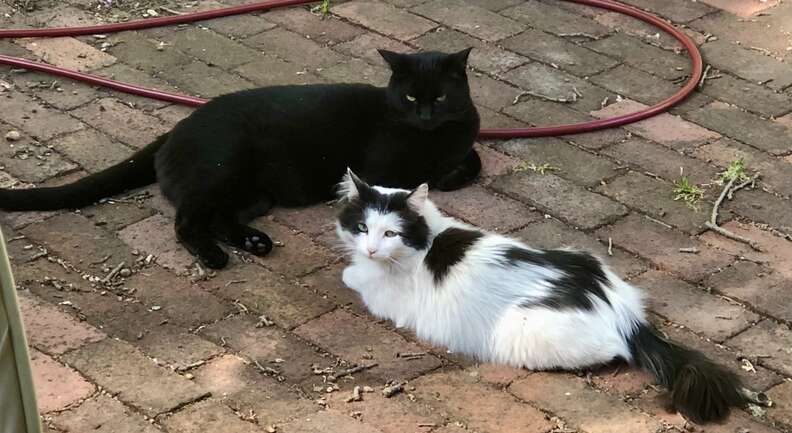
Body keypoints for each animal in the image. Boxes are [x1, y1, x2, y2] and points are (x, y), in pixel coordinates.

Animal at [0, 49, 482, 268]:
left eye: (440, 97)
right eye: (411, 97)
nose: (425, 114)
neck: (434, 137)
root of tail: (176, 129)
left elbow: (472, 158)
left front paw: (457, 169)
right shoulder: (382, 169)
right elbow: (427, 175)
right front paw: (445, 176)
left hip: (253, 193)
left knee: (219, 218)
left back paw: (253, 241)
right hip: (222, 170)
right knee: (188, 221)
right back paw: (213, 256)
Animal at [338, 169, 752, 422]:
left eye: (391, 233)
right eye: (362, 228)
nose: (371, 249)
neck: (428, 239)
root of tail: (623, 314)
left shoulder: (385, 297)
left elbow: (354, 277)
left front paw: (352, 270)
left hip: (521, 331)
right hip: (584, 255)